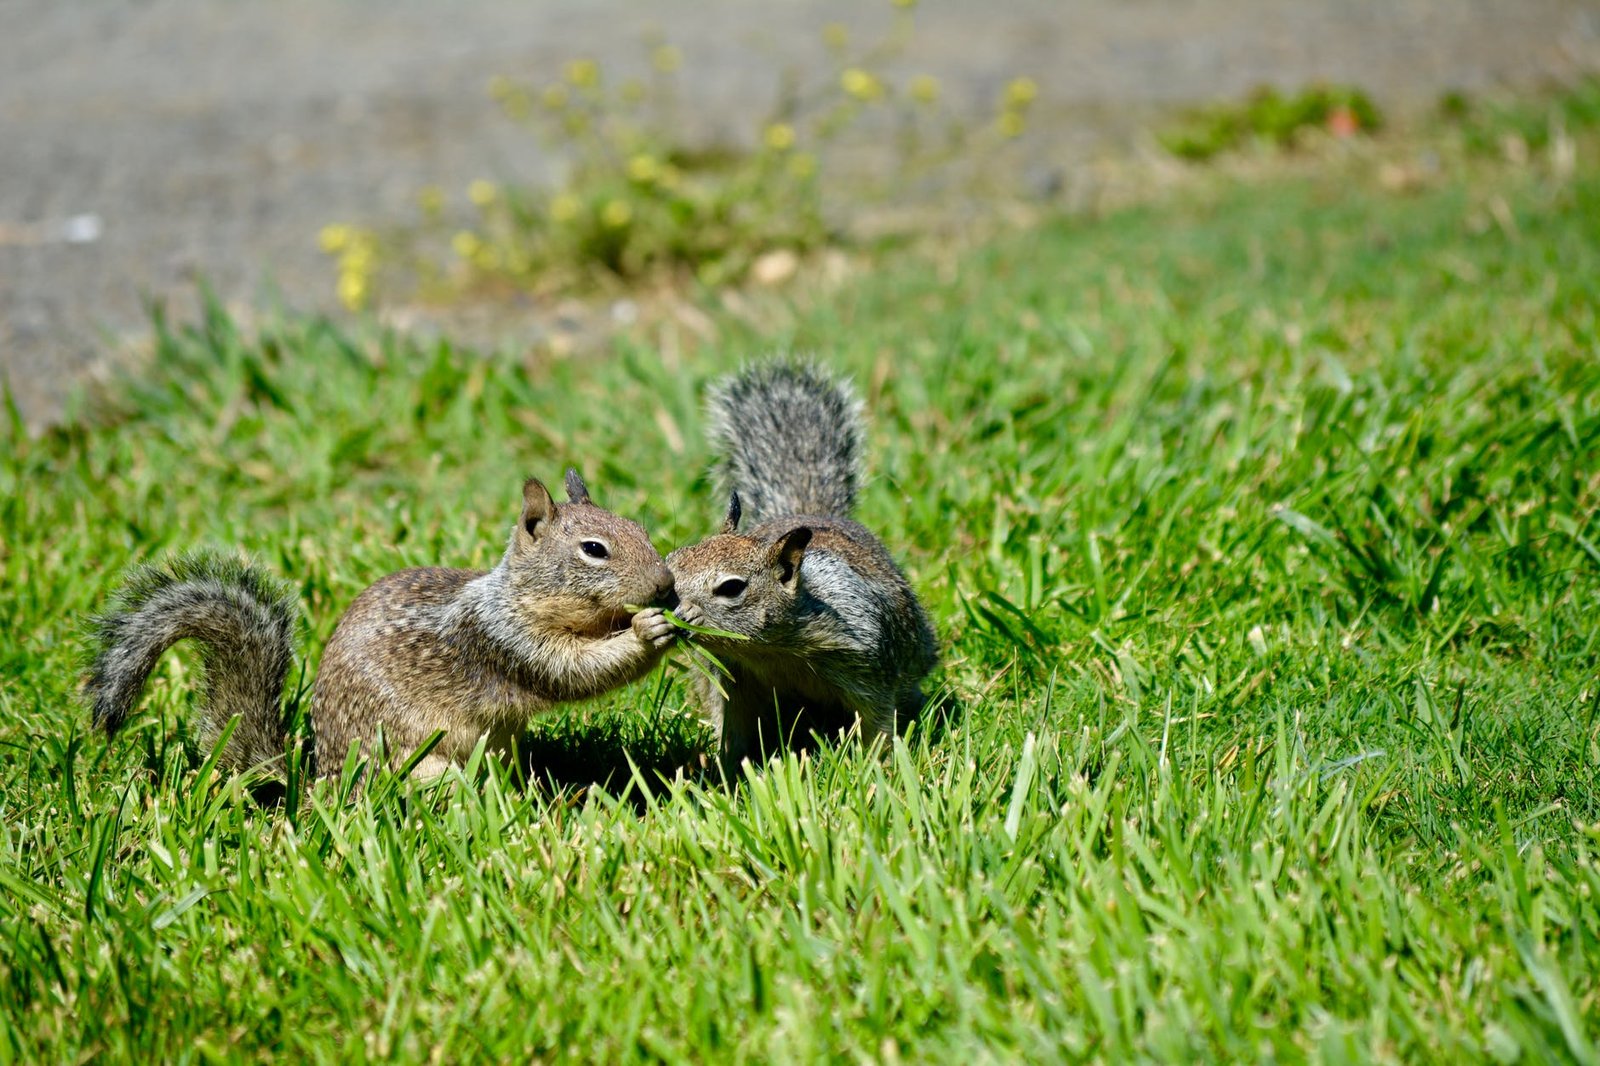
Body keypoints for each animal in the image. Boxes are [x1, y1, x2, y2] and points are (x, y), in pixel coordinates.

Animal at [87, 470, 675, 781]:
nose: (665, 586)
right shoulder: (505, 641)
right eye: (593, 550)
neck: (516, 596)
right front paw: (649, 632)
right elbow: (575, 671)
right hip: (420, 764)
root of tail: (321, 787)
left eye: (640, 528)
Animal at [662, 358, 934, 771]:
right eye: (671, 563)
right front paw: (722, 769)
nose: (673, 613)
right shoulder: (731, 679)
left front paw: (876, 767)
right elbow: (733, 730)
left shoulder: (869, 664)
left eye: (732, 588)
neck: (770, 650)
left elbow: (877, 722)